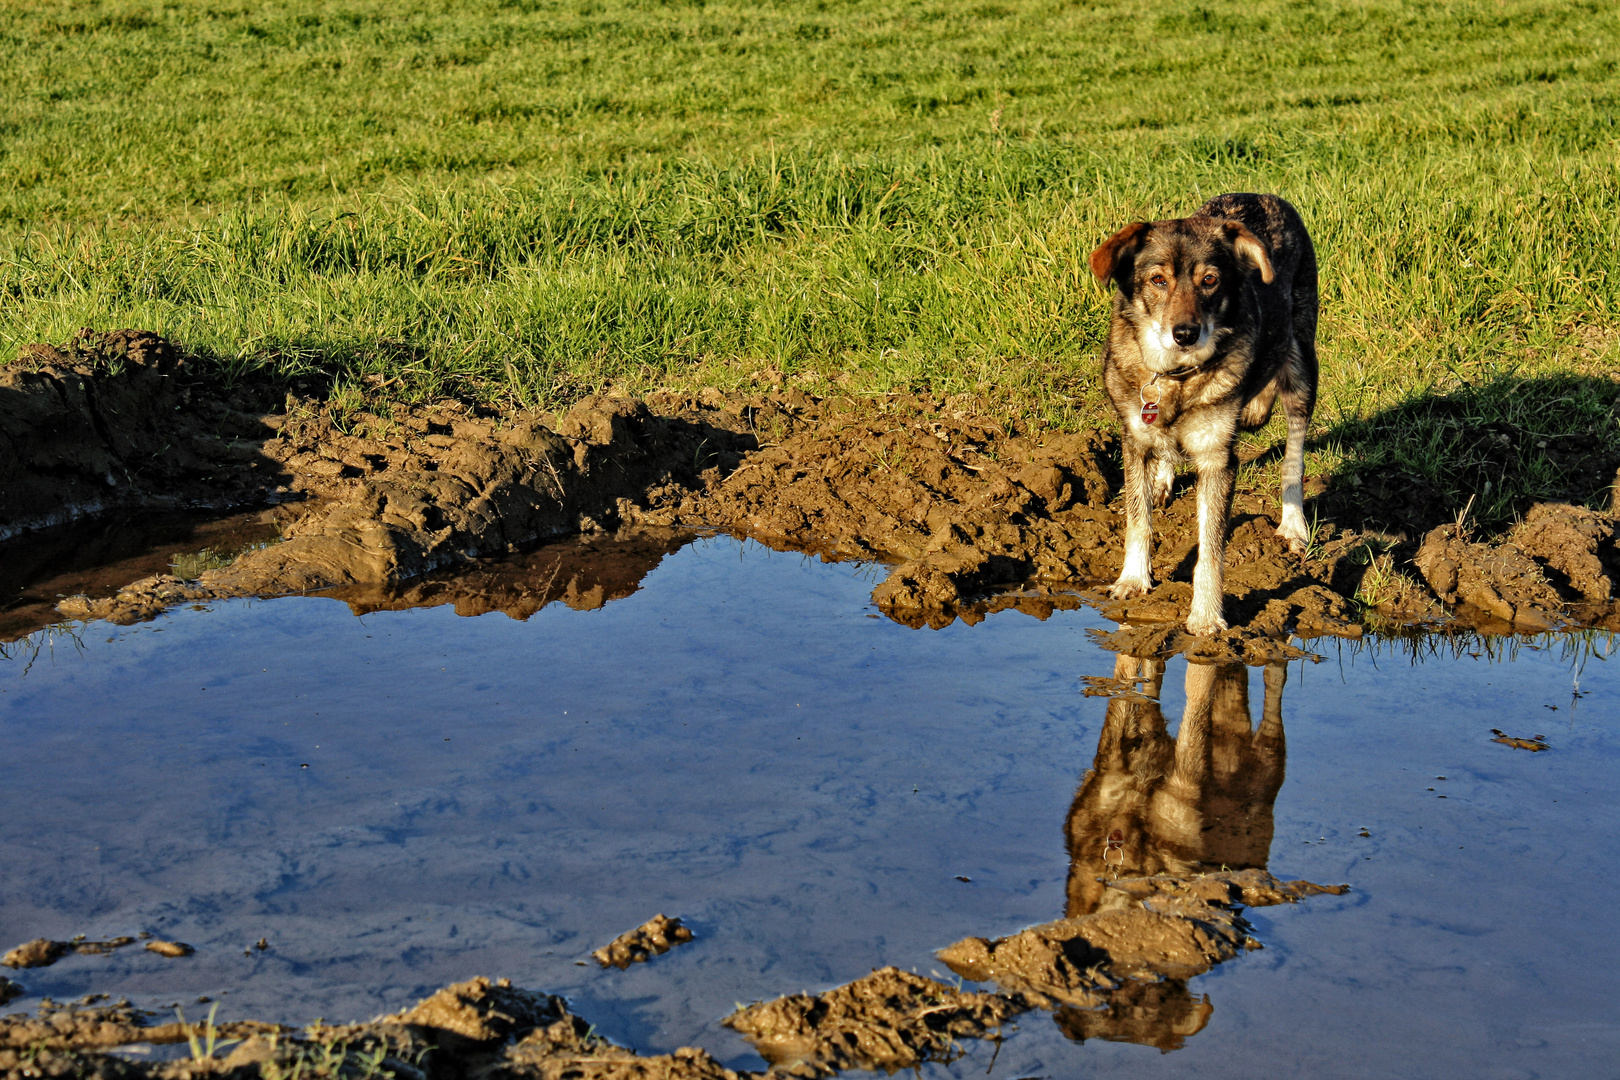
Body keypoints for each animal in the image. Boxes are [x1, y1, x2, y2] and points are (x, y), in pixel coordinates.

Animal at [1088, 191, 1315, 634]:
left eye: (1210, 280)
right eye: (1158, 280)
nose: (1185, 334)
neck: (1174, 375)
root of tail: (1264, 196)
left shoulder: (1217, 458)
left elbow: (1212, 547)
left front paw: (1206, 615)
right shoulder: (1134, 440)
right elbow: (1137, 517)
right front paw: (1132, 579)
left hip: (1301, 368)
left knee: (1293, 455)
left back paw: (1293, 525)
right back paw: (1162, 479)